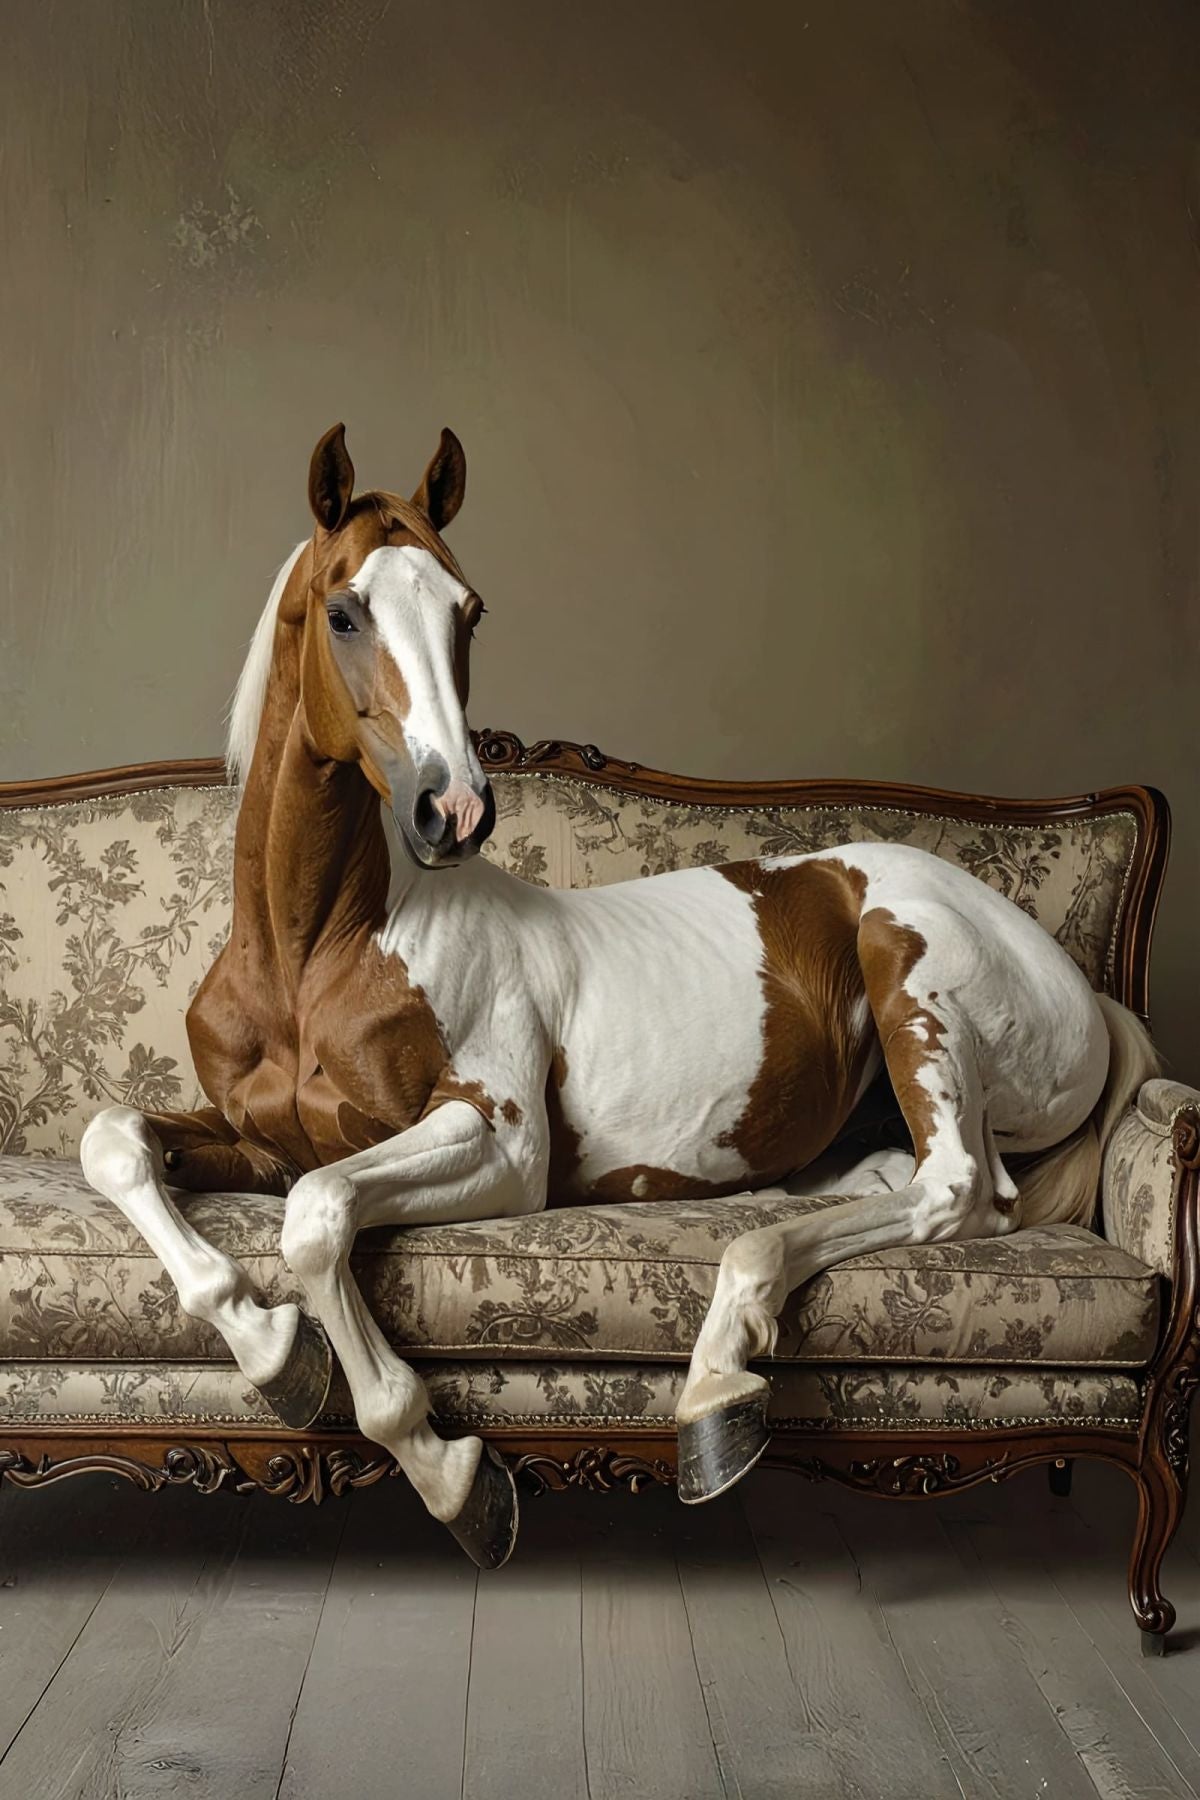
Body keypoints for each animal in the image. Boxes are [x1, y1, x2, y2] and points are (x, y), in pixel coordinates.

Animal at [80, 423, 1158, 1568]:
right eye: (343, 610)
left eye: (469, 609)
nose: (456, 810)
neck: (321, 949)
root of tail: (1081, 987)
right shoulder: (259, 1140)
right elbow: (116, 1141)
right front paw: (273, 1348)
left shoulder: (500, 1147)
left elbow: (317, 1216)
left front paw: (448, 1474)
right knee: (911, 1186)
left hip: (900, 960)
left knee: (958, 1188)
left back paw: (719, 1381)